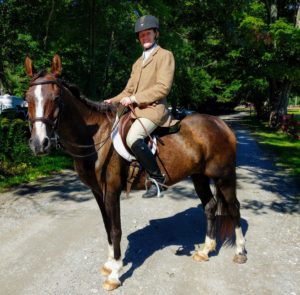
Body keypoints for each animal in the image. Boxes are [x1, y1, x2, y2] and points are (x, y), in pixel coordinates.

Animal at [25, 55, 246, 292]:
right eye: (27, 99)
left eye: (56, 98)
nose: (39, 144)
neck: (95, 139)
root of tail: (220, 123)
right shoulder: (97, 192)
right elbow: (107, 227)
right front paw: (109, 264)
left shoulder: (111, 191)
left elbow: (116, 229)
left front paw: (114, 274)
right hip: (199, 177)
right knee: (210, 206)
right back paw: (205, 250)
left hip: (224, 177)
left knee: (234, 208)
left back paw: (240, 252)